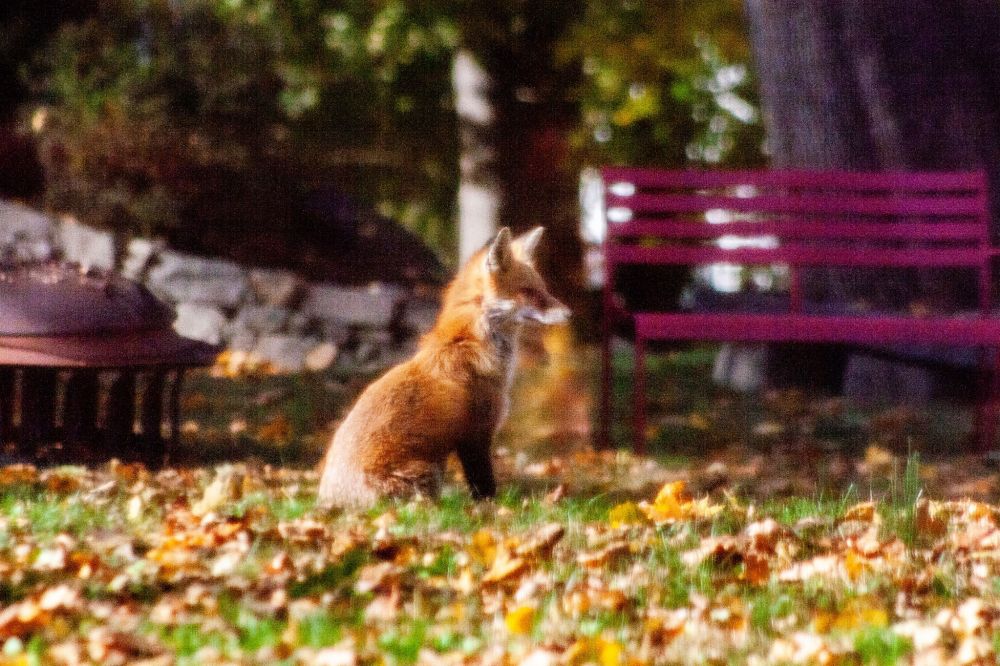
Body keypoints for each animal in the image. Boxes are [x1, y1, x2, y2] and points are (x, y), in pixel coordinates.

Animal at [317, 226, 569, 508]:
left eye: (543, 289)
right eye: (528, 291)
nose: (569, 313)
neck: (466, 344)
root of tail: (329, 504)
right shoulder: (475, 436)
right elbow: (484, 487)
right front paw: (492, 512)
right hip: (428, 474)